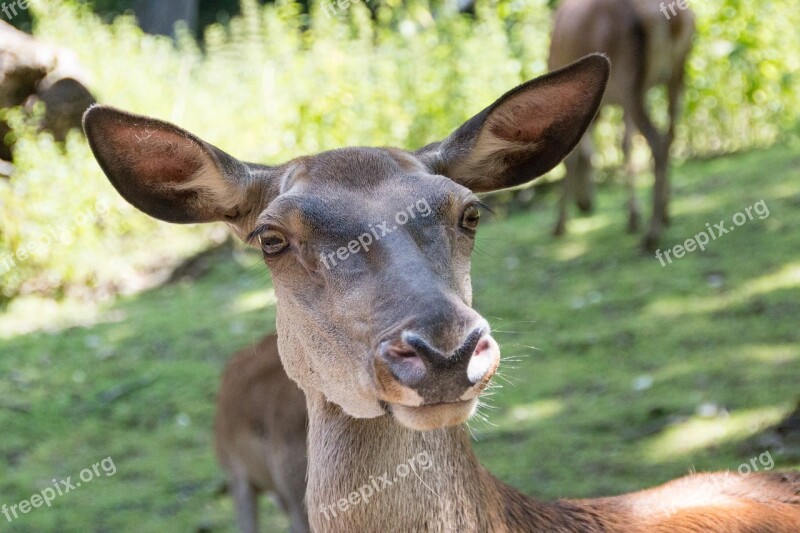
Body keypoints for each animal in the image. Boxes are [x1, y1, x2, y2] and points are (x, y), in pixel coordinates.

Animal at [552, 0, 692, 250]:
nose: (586, 205)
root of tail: (675, 21)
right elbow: (626, 145)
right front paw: (633, 217)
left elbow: (572, 157)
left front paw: (559, 225)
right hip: (678, 73)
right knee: (671, 137)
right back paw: (665, 215)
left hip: (630, 80)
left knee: (657, 142)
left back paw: (651, 235)